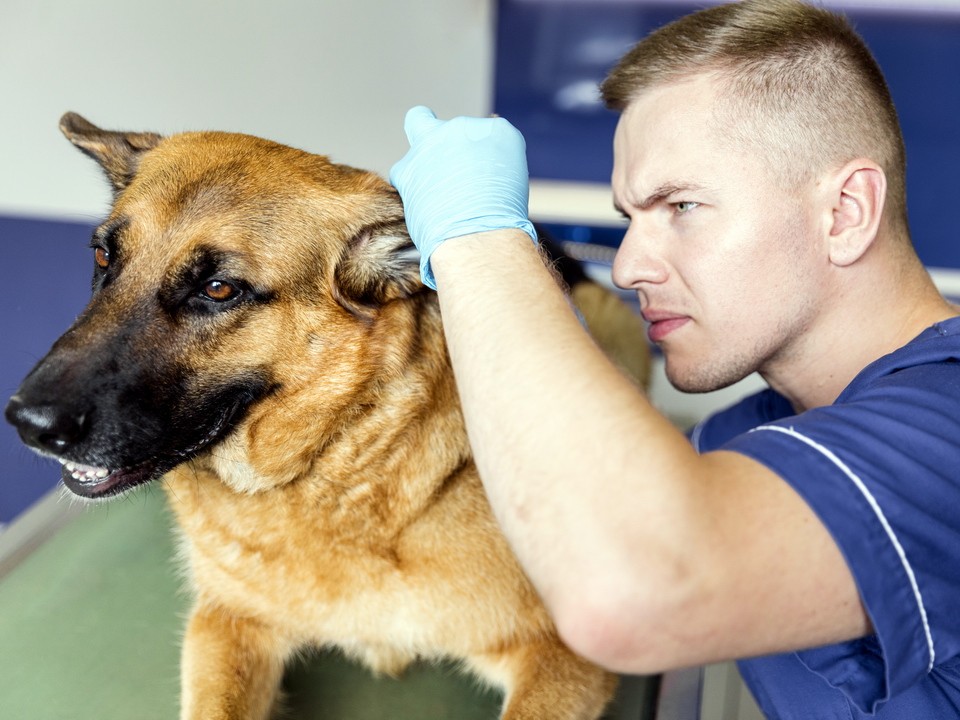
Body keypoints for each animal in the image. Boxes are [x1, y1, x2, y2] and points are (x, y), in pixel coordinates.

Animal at [3, 114, 648, 720]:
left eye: (218, 289)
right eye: (102, 255)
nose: (26, 422)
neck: (331, 466)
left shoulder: (562, 656)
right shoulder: (227, 623)